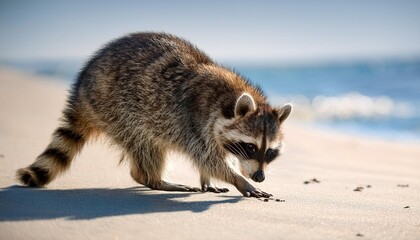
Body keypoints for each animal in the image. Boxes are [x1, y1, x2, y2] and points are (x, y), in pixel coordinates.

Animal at [17, 31, 292, 197]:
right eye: (250, 147)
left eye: (270, 152)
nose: (259, 177)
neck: (229, 96)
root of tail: (82, 89)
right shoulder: (195, 119)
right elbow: (208, 158)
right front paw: (238, 180)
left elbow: (213, 157)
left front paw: (210, 180)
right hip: (118, 109)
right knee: (145, 143)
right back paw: (153, 179)